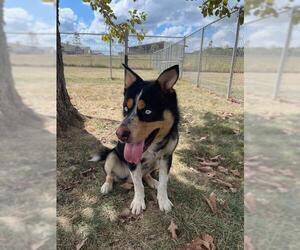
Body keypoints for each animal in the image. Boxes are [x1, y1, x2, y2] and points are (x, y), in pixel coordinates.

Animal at [91, 64, 180, 215]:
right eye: (126, 108)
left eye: (148, 112)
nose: (119, 134)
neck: (152, 146)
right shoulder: (132, 162)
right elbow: (138, 185)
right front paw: (138, 202)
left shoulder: (166, 157)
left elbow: (163, 182)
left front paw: (163, 200)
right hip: (112, 157)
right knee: (110, 174)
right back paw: (107, 185)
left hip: (154, 163)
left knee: (146, 174)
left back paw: (152, 181)